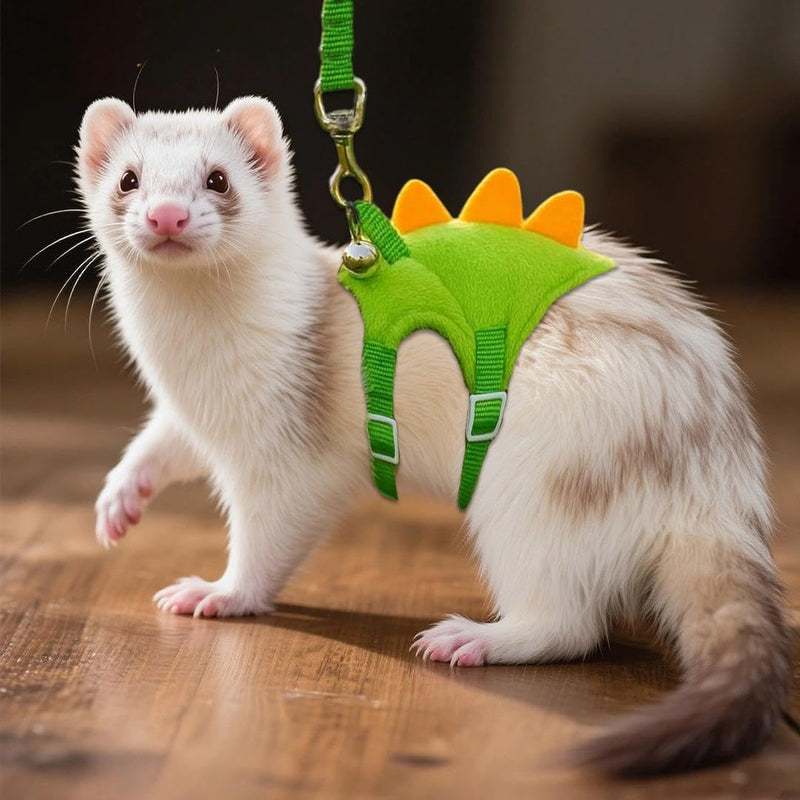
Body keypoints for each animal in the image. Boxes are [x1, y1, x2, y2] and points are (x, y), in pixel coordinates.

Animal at [76, 96, 789, 776]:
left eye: (218, 178)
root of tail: (711, 477)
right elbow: (162, 442)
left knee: (568, 624)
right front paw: (120, 499)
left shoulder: (290, 461)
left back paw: (473, 639)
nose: (167, 216)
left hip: (532, 488)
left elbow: (265, 540)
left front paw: (218, 593)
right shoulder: (191, 413)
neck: (196, 365)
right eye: (129, 178)